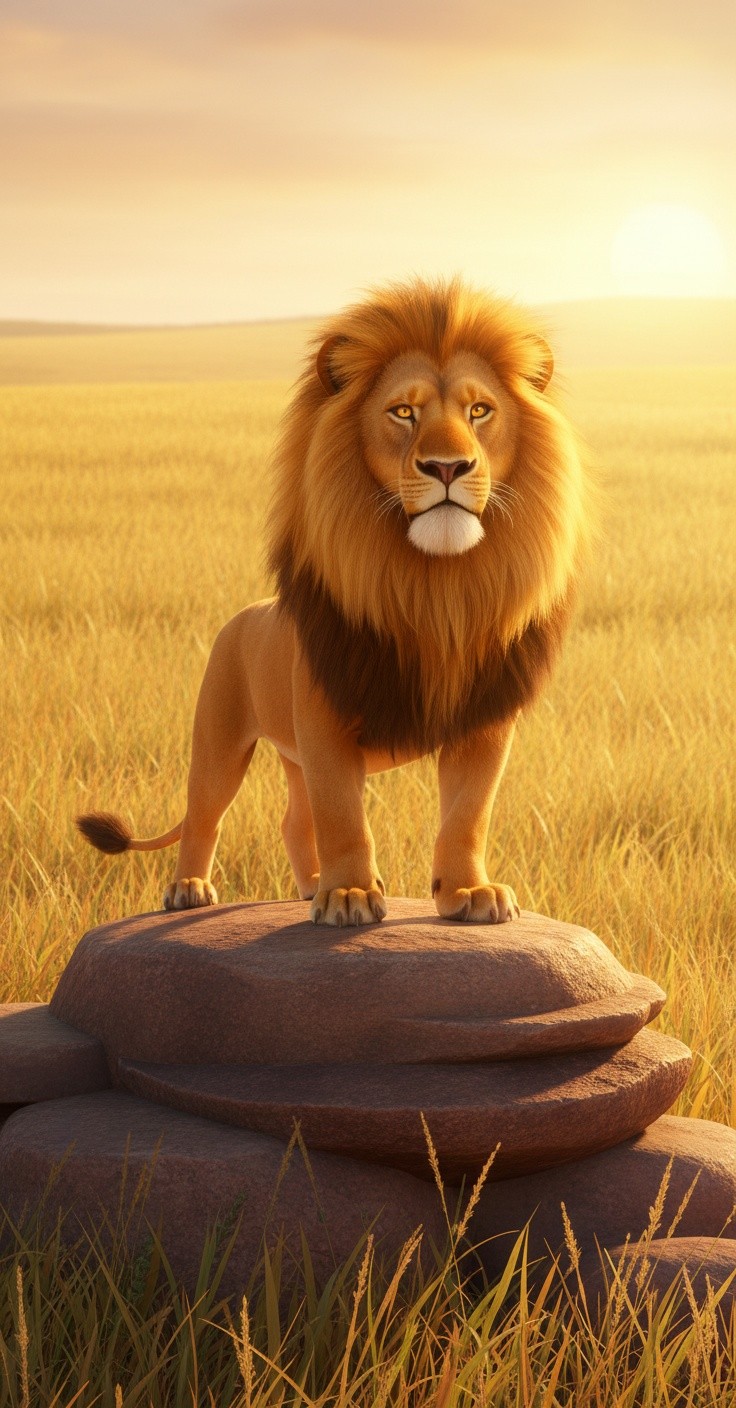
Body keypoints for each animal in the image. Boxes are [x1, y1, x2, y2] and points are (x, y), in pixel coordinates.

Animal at [77, 276, 588, 926]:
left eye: (480, 410)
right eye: (403, 411)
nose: (448, 466)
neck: (434, 592)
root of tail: (241, 616)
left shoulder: (484, 720)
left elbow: (467, 814)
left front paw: (468, 893)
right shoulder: (323, 721)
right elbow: (343, 814)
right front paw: (349, 895)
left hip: (290, 755)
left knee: (293, 819)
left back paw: (308, 883)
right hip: (220, 736)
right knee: (205, 814)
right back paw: (190, 889)